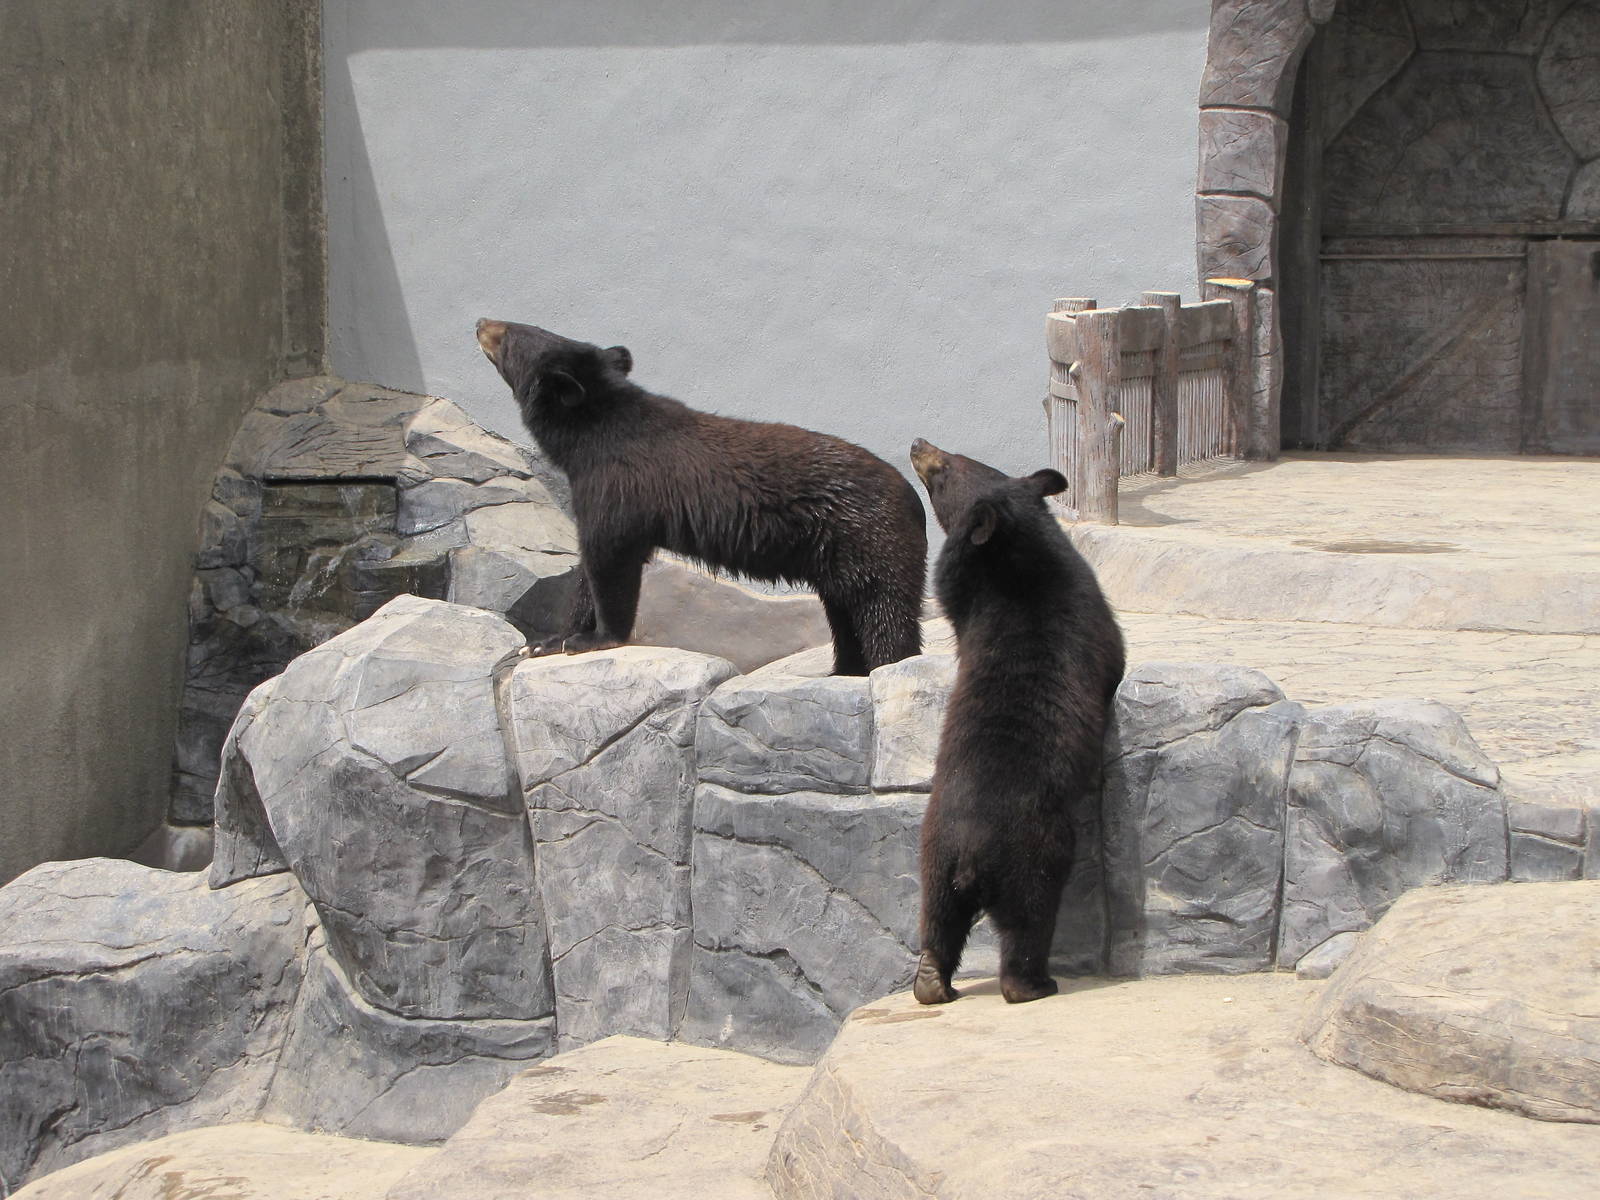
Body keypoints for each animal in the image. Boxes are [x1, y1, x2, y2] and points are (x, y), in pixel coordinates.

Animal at [475, 318, 926, 675]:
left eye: (510, 336)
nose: (481, 322)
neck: (598, 434)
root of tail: (913, 500)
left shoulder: (618, 485)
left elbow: (611, 556)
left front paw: (591, 638)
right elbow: (589, 566)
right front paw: (546, 641)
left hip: (867, 542)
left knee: (884, 613)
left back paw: (884, 665)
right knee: (845, 615)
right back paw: (845, 671)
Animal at [907, 438, 1125, 1004]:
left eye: (947, 464)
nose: (917, 444)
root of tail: (968, 852)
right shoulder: (1091, 615)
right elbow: (1115, 653)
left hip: (932, 853)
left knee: (937, 918)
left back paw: (931, 984)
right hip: (1036, 853)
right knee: (1029, 921)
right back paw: (1034, 983)